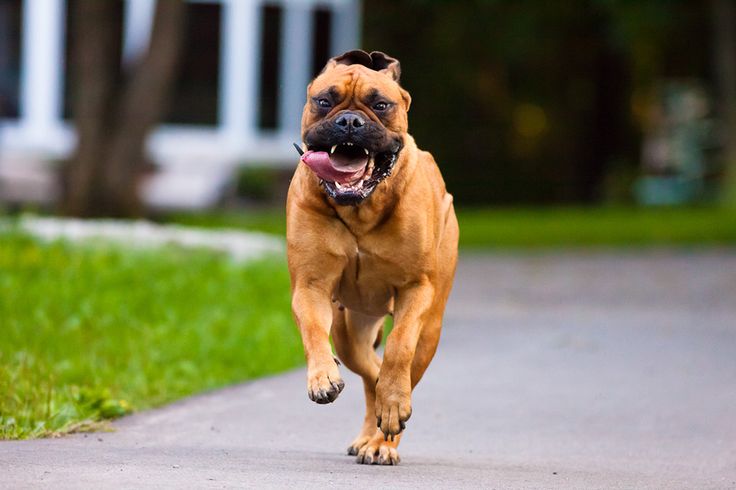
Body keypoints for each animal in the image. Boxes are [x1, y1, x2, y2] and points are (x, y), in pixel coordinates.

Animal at [284, 50, 458, 468]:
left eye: (380, 105)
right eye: (324, 101)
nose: (349, 120)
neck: (360, 206)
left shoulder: (416, 289)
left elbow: (399, 348)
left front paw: (393, 405)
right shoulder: (310, 286)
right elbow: (312, 330)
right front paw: (322, 378)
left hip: (431, 328)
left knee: (396, 369)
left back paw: (383, 440)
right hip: (350, 330)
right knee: (369, 373)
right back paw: (368, 432)